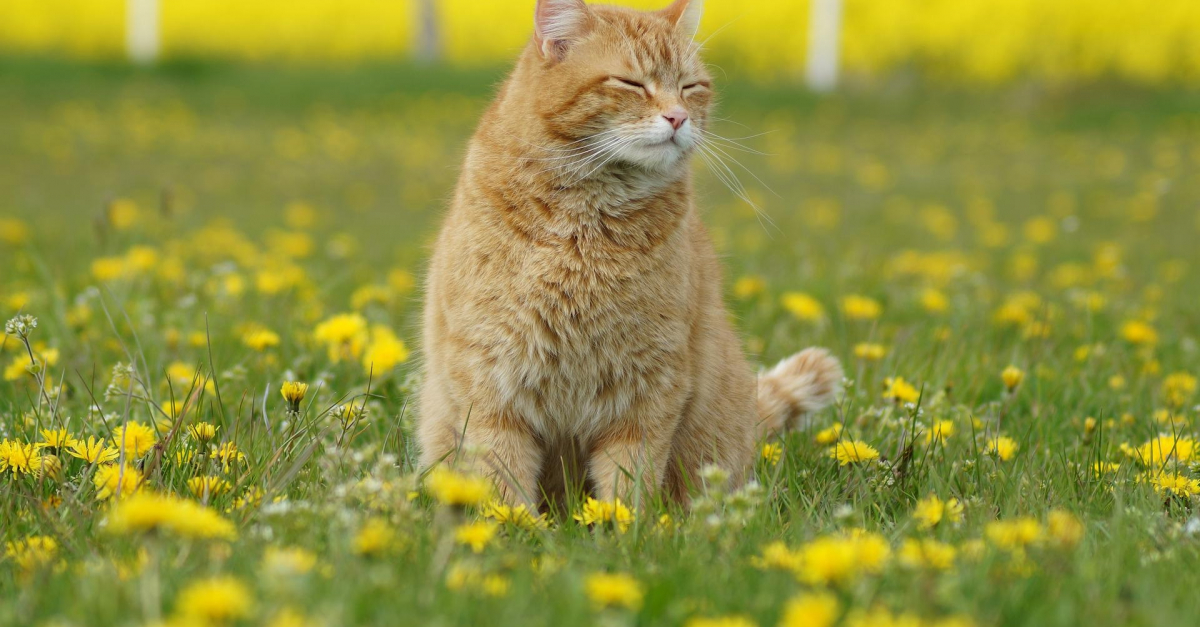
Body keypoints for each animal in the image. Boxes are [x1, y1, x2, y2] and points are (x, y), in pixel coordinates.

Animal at [420, 0, 844, 504]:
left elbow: (630, 483)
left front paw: (621, 522)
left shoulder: (649, 389)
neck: (585, 226)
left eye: (690, 87)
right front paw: (512, 522)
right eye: (631, 83)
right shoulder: (491, 382)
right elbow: (502, 481)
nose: (678, 117)